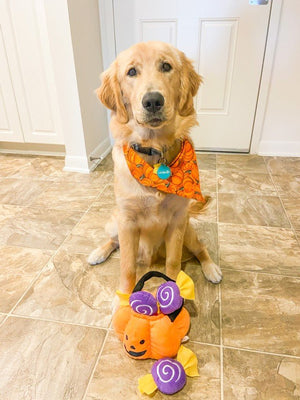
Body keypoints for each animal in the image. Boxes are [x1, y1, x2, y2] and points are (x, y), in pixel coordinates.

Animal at [88, 41, 221, 294]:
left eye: (166, 66)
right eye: (131, 72)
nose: (152, 101)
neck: (154, 150)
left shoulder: (177, 220)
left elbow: (173, 262)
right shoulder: (127, 222)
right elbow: (127, 267)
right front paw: (122, 297)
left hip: (189, 231)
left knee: (201, 248)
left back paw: (211, 268)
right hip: (114, 222)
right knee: (113, 241)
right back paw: (98, 252)